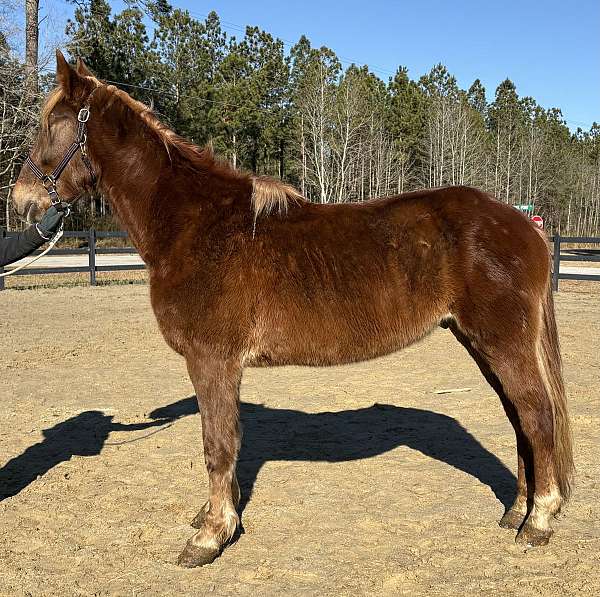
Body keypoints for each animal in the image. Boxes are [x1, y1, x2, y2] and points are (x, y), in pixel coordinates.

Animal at [10, 52, 572, 568]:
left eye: (52, 125)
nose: (21, 200)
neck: (194, 224)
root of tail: (524, 225)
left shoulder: (211, 359)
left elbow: (217, 444)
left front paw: (209, 537)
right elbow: (228, 442)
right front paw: (216, 517)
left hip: (502, 342)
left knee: (536, 415)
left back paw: (539, 521)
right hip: (479, 341)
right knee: (519, 420)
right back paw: (515, 512)